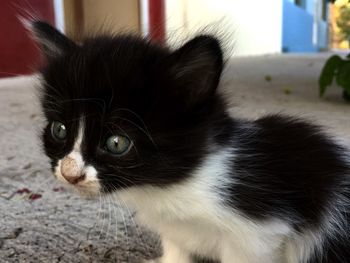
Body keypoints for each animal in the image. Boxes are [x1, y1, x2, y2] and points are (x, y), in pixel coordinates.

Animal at [32, 21, 350, 263]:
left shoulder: (258, 232)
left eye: (117, 143)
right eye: (59, 130)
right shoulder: (177, 232)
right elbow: (177, 251)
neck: (172, 185)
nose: (69, 173)